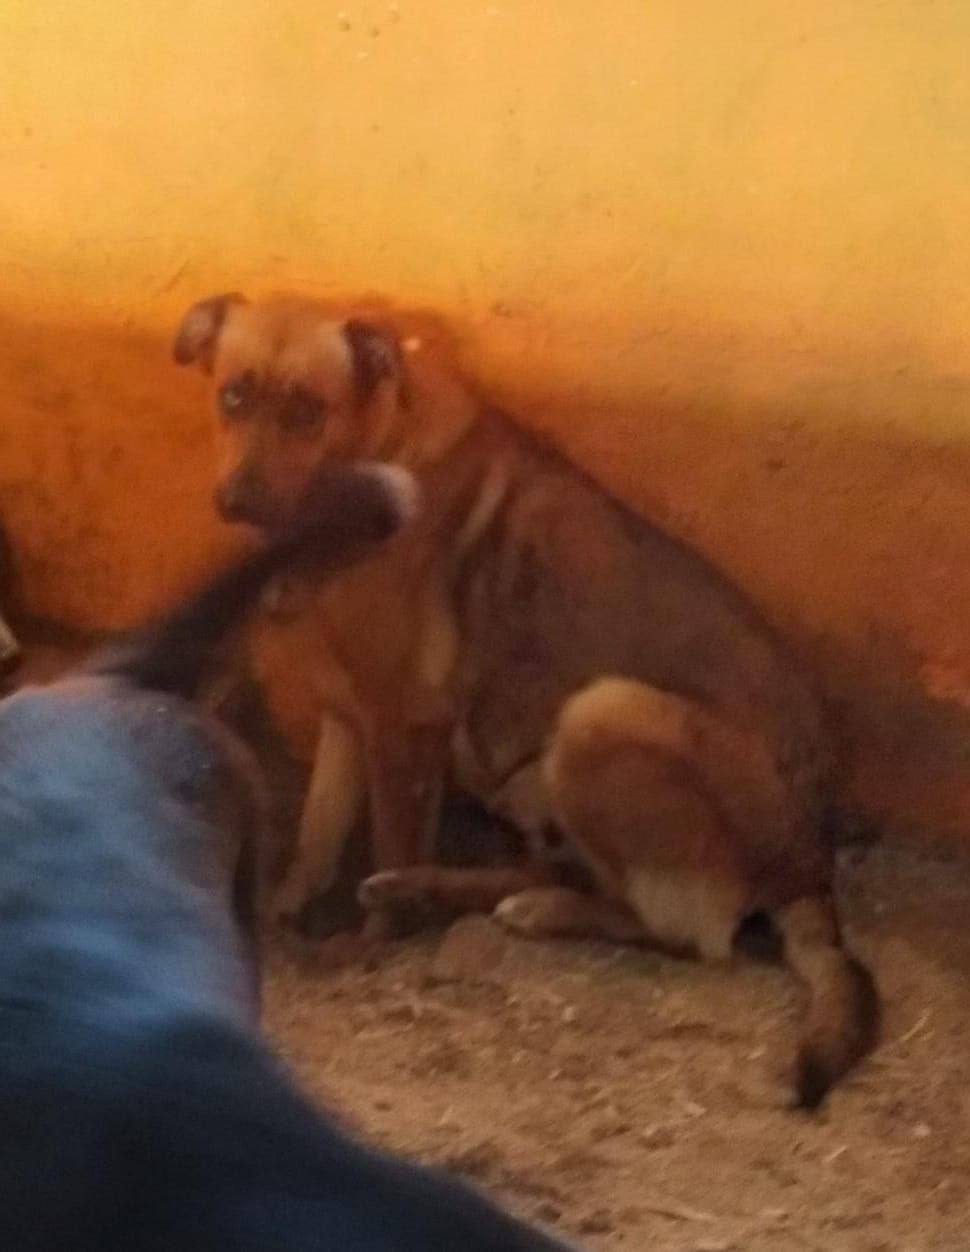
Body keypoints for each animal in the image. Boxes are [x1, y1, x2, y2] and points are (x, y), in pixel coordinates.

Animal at [173, 290, 881, 1106]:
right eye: (233, 396)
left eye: (306, 410)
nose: (236, 500)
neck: (374, 449)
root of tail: (810, 861)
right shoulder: (347, 715)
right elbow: (318, 836)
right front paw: (284, 907)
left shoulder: (403, 724)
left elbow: (388, 835)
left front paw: (369, 944)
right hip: (531, 774)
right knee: (568, 870)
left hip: (603, 714)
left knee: (689, 930)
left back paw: (501, 903)